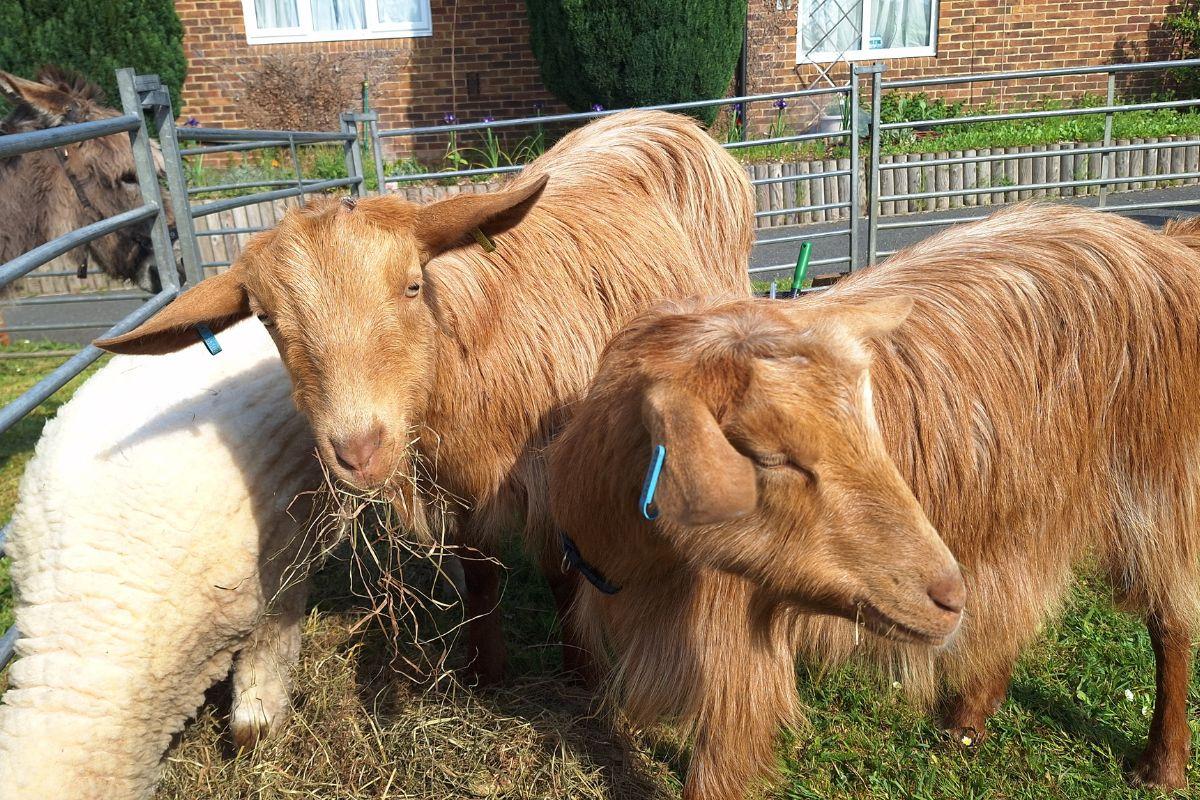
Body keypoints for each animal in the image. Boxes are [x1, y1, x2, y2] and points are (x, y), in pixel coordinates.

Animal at [95, 109, 755, 684]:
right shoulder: (460, 486)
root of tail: (660, 119)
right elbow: (481, 575)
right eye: (265, 319)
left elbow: (562, 575)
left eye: (413, 285)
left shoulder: (551, 472)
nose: (358, 451)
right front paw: (486, 672)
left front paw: (582, 674)